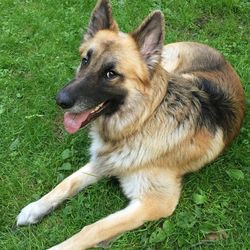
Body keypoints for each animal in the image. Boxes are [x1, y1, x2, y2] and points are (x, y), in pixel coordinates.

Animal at [16, 0, 245, 248]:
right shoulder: (103, 161)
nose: (60, 100)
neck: (140, 123)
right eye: (85, 60)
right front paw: (35, 208)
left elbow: (93, 228)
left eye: (111, 73)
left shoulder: (154, 203)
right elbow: (67, 182)